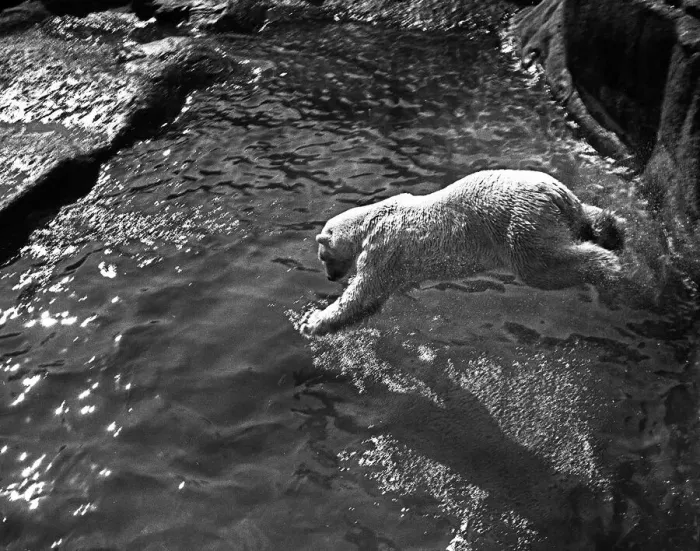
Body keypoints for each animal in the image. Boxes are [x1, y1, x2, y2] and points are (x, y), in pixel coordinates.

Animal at [300, 169, 626, 336]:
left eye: (323, 257)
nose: (329, 278)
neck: (372, 219)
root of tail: (554, 190)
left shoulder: (384, 249)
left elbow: (362, 292)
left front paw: (313, 321)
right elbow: (372, 301)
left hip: (520, 224)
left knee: (544, 266)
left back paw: (609, 272)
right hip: (563, 210)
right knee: (586, 217)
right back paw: (614, 229)